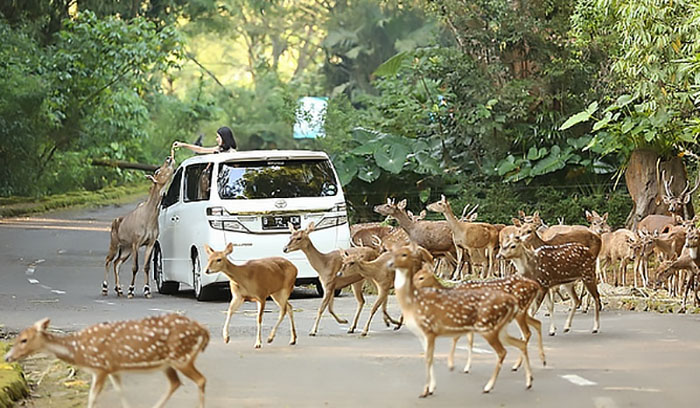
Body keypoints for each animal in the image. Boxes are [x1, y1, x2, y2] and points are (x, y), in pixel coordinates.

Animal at [4, 316, 208, 408]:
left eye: (24, 340)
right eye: (17, 338)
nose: (7, 357)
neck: (78, 350)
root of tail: (204, 331)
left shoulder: (100, 367)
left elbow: (93, 396)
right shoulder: (113, 368)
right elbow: (120, 390)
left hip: (181, 357)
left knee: (201, 380)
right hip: (168, 363)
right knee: (175, 383)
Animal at [104, 155, 176, 298]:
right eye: (157, 171)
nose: (169, 158)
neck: (149, 216)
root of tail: (114, 223)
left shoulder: (150, 242)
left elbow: (146, 267)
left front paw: (147, 291)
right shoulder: (136, 242)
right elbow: (135, 267)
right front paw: (131, 291)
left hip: (125, 249)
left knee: (116, 262)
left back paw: (119, 290)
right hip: (115, 244)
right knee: (108, 260)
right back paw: (105, 289)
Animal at [388, 242, 536, 396]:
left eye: (421, 277)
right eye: (416, 275)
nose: (412, 286)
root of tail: (535, 285)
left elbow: (459, 338)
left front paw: (453, 365)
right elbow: (465, 339)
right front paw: (464, 367)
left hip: (518, 312)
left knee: (526, 333)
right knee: (533, 328)